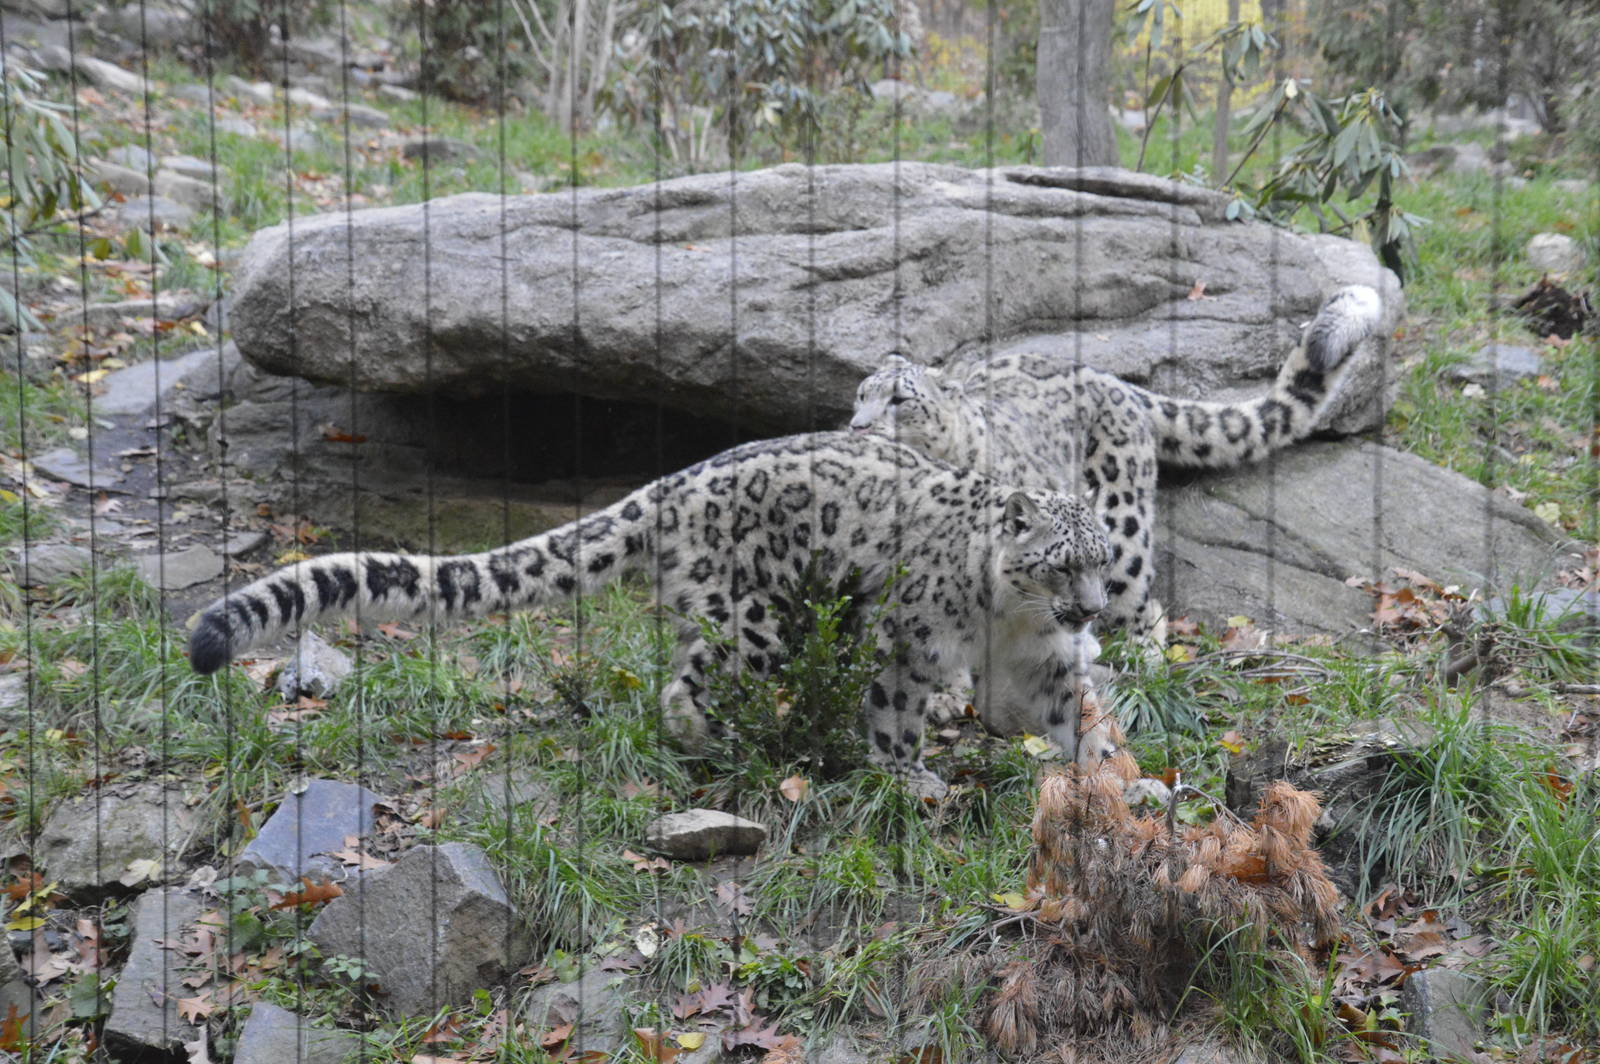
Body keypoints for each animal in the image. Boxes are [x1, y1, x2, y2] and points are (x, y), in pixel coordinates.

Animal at [186, 431, 1121, 799]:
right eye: (1060, 560)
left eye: (1103, 558)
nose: (1088, 609)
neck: (1009, 616)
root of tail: (673, 483)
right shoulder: (907, 640)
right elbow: (894, 713)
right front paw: (908, 776)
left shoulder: (1039, 659)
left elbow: (1070, 712)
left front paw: (1118, 777)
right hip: (757, 622)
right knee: (684, 688)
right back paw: (722, 743)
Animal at [849, 284, 1384, 646]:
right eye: (860, 393)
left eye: (899, 399)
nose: (856, 426)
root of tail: (1118, 382)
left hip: (1119, 521)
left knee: (1140, 602)